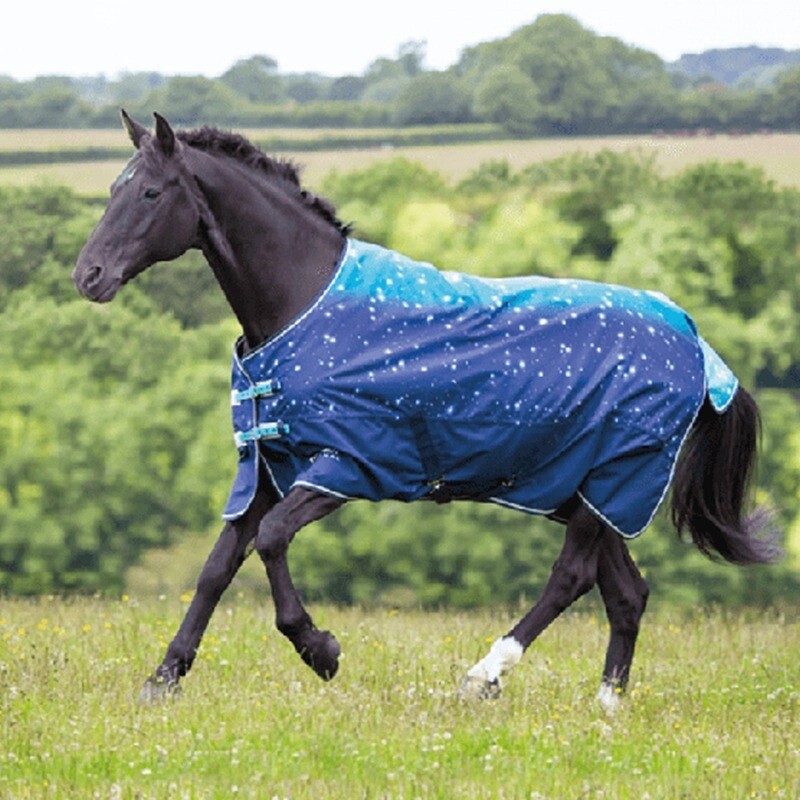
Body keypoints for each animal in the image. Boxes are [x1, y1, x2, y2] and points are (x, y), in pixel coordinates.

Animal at [73, 112, 778, 710]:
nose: (89, 276)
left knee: (570, 577)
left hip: (613, 479)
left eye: (150, 193)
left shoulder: (348, 466)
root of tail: (698, 348)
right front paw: (163, 679)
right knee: (628, 594)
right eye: (114, 187)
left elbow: (271, 542)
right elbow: (217, 568)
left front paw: (321, 651)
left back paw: (483, 676)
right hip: (589, 493)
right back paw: (605, 707)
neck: (303, 302)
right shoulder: (269, 467)